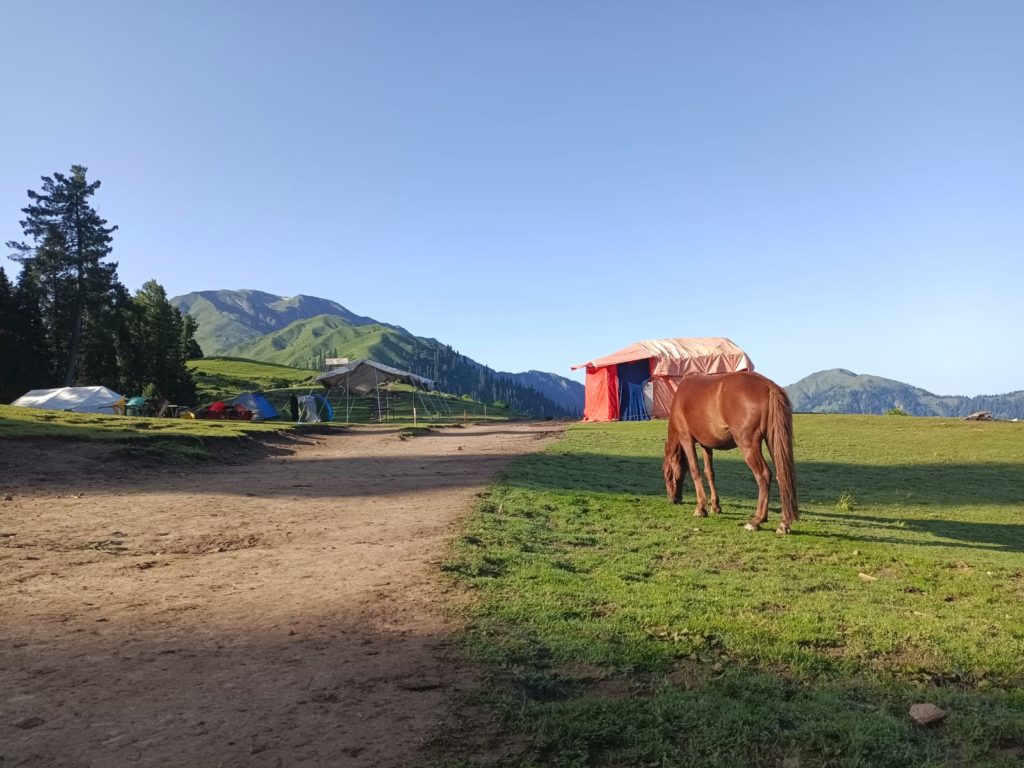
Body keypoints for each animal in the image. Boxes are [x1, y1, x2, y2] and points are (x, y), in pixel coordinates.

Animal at [663, 372, 798, 536]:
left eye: (667, 474)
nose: (672, 499)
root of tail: (767, 385)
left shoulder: (686, 438)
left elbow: (695, 471)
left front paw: (701, 508)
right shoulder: (706, 444)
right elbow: (709, 473)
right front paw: (715, 506)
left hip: (747, 445)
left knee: (764, 476)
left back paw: (756, 520)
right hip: (773, 440)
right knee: (783, 476)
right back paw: (784, 522)